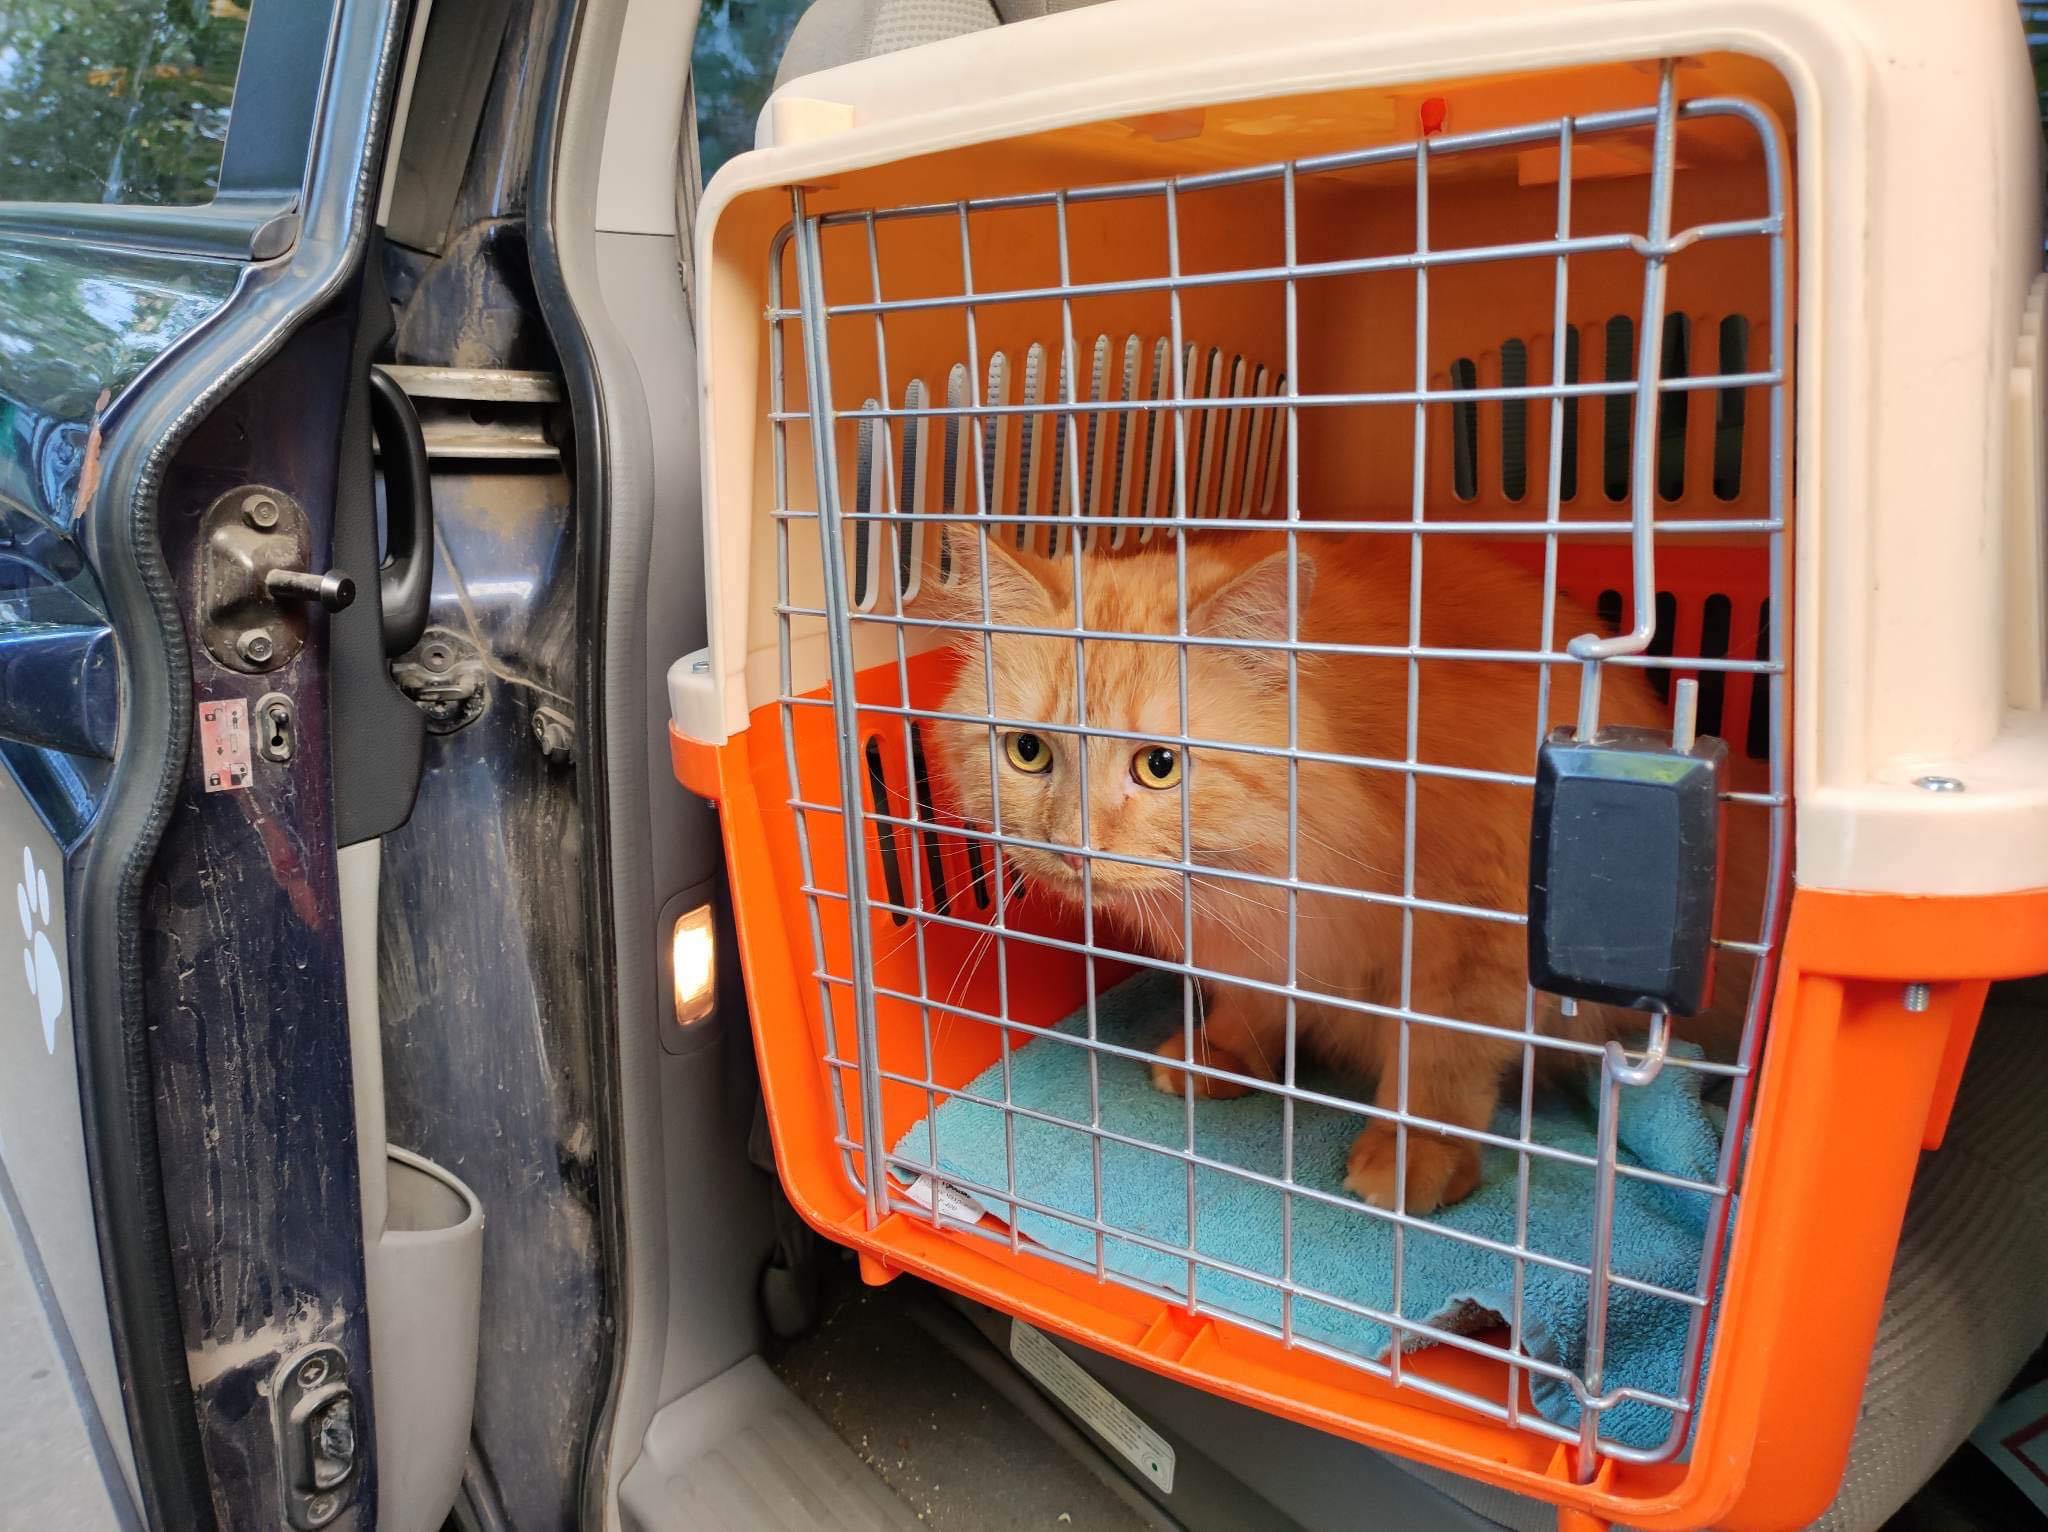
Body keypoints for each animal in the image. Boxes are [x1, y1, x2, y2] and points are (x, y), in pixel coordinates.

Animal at [916, 527, 1758, 1214]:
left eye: (1159, 767)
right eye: (1029, 753)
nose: (1071, 845)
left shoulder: (1468, 945)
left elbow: (1438, 1068)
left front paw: (1414, 1155)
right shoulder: (1264, 948)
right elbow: (1253, 1007)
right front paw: (1222, 1055)